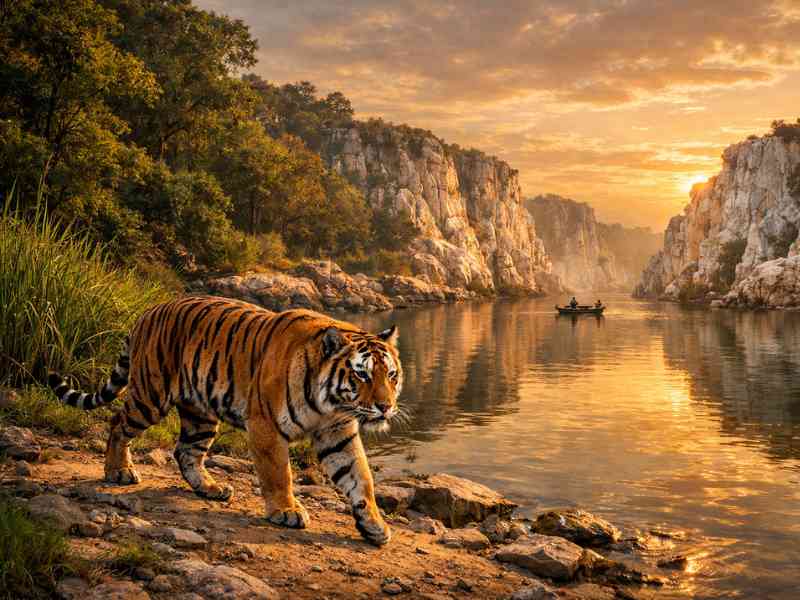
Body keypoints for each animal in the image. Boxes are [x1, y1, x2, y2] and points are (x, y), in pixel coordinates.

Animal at [48, 295, 403, 546]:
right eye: (362, 374)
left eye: (391, 374)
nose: (385, 407)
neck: (330, 404)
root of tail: (148, 312)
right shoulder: (265, 425)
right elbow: (279, 473)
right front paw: (286, 511)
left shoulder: (338, 433)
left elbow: (361, 478)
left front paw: (375, 526)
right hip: (150, 396)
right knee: (118, 423)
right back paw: (118, 471)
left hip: (200, 414)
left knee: (186, 451)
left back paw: (211, 488)